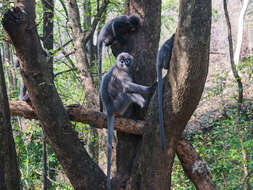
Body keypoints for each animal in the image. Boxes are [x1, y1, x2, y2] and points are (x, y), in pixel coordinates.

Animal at [100, 52, 156, 190]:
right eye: (122, 60)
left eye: (127, 60)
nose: (124, 63)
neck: (120, 68)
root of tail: (109, 110)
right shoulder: (121, 74)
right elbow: (127, 86)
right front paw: (150, 89)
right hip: (119, 105)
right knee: (127, 93)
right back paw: (145, 103)